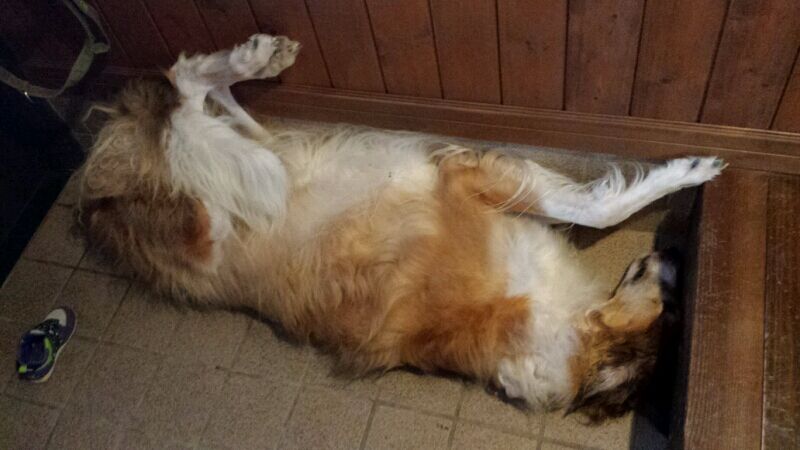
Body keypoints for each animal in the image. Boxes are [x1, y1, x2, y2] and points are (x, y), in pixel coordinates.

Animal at [78, 34, 723, 422]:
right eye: (671, 311)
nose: (675, 256)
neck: (558, 326)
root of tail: (103, 207)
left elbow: (583, 203)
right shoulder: (463, 180)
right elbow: (597, 208)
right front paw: (687, 170)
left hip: (252, 161)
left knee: (206, 103)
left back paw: (258, 61)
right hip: (219, 203)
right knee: (181, 89)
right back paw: (254, 57)